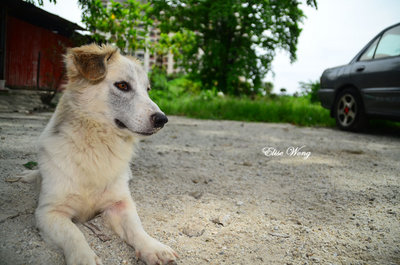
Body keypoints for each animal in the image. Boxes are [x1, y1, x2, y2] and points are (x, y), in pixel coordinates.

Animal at [19, 43, 178, 264]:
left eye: (147, 90)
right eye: (122, 85)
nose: (162, 119)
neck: (97, 147)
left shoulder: (120, 203)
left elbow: (136, 227)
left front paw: (153, 247)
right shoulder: (49, 212)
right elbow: (74, 233)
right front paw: (84, 258)